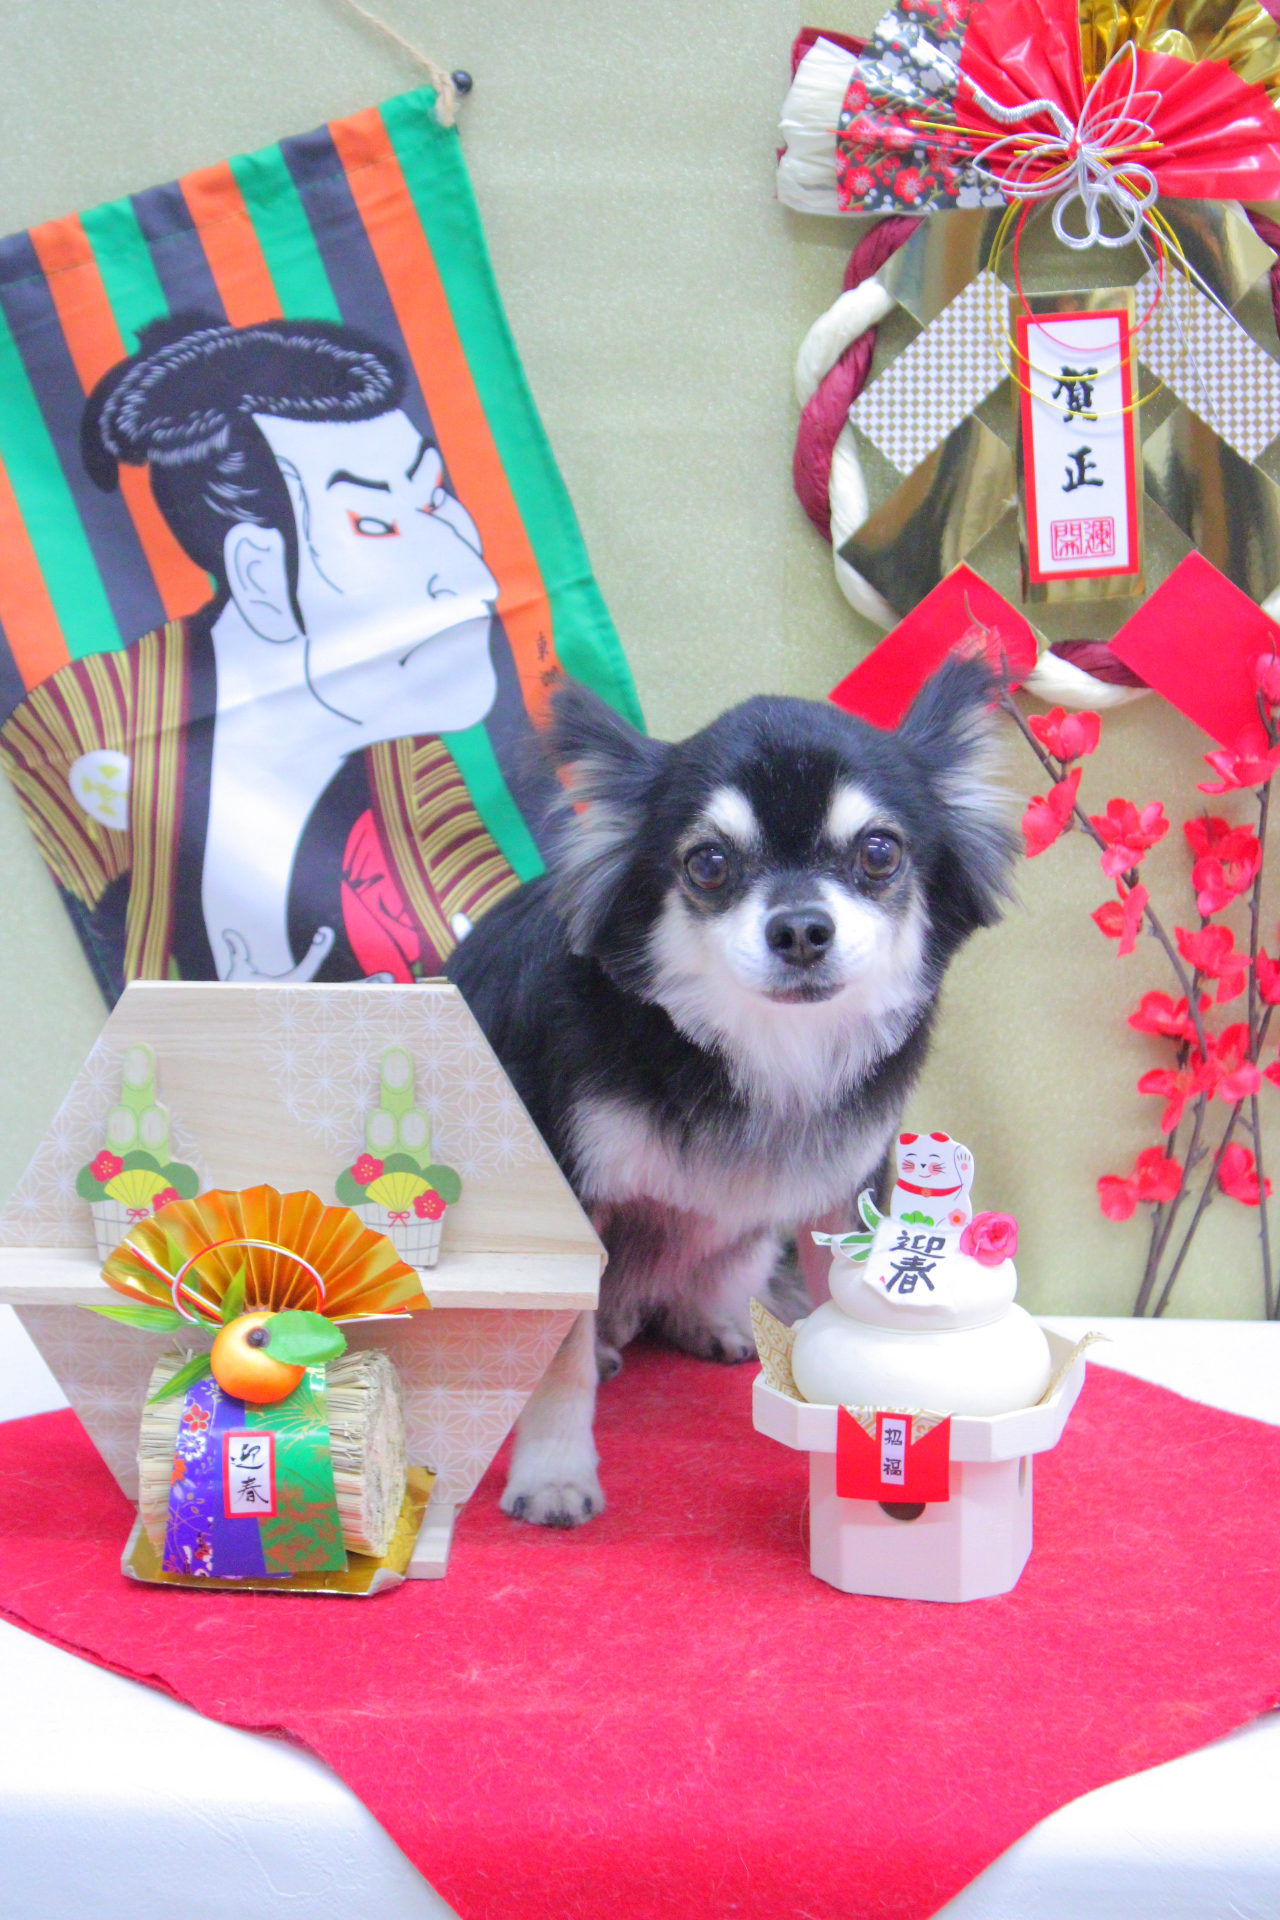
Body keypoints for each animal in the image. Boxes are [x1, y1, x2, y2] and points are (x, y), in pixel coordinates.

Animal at [446, 654, 1018, 1525]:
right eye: (709, 864)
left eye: (879, 853)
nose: (801, 928)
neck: (764, 1050)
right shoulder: (568, 1202)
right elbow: (561, 1359)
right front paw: (553, 1474)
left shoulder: (842, 1190)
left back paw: (710, 1322)